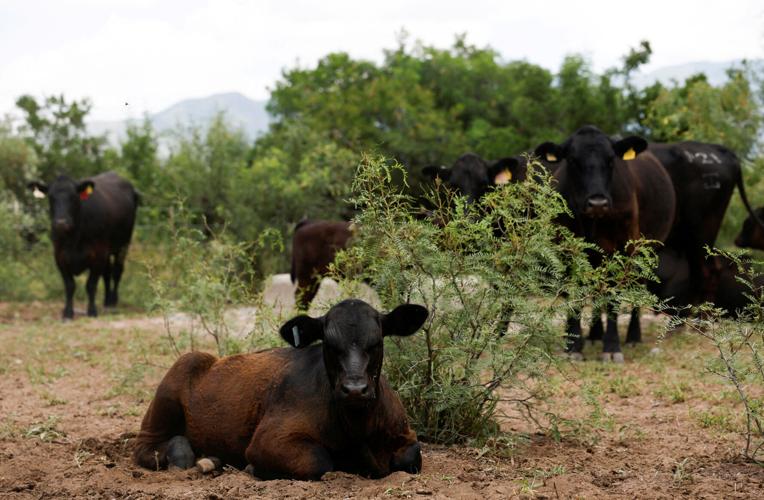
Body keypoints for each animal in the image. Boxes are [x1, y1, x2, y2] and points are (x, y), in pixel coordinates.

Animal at [27, 172, 139, 319]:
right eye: (51, 197)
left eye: (74, 197)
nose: (61, 223)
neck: (74, 238)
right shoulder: (60, 256)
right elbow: (70, 286)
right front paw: (68, 312)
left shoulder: (98, 254)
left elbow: (91, 285)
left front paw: (92, 311)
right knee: (107, 273)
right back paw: (106, 300)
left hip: (123, 245)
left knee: (116, 271)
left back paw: (113, 301)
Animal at [133, 299, 428, 480]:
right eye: (329, 344)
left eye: (376, 342)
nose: (355, 389)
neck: (358, 431)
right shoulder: (268, 439)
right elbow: (319, 461)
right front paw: (253, 469)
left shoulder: (405, 434)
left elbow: (412, 456)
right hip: (172, 386)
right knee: (148, 447)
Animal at [535, 125, 676, 361]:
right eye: (572, 160)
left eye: (611, 160)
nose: (597, 202)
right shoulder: (566, 249)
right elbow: (575, 293)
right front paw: (573, 344)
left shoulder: (622, 249)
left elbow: (613, 298)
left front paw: (611, 346)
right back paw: (594, 334)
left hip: (644, 252)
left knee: (636, 288)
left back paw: (632, 337)